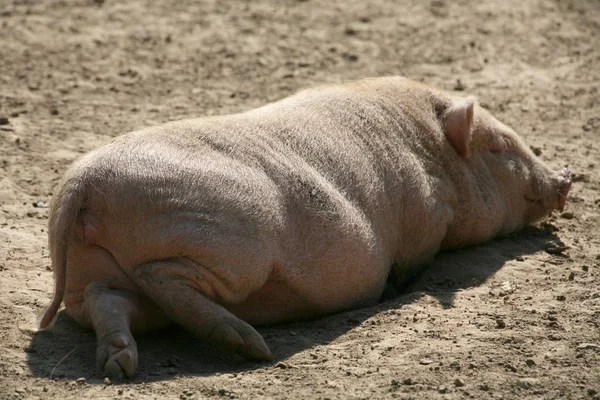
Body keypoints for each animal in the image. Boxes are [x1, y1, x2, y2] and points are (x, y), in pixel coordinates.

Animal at [36, 76, 572, 378]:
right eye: (500, 147)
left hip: (91, 279)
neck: (433, 157)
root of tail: (82, 184)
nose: (566, 178)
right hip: (234, 244)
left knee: (109, 302)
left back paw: (119, 367)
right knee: (160, 275)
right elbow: (412, 263)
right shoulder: (425, 219)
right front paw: (396, 290)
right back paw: (252, 347)